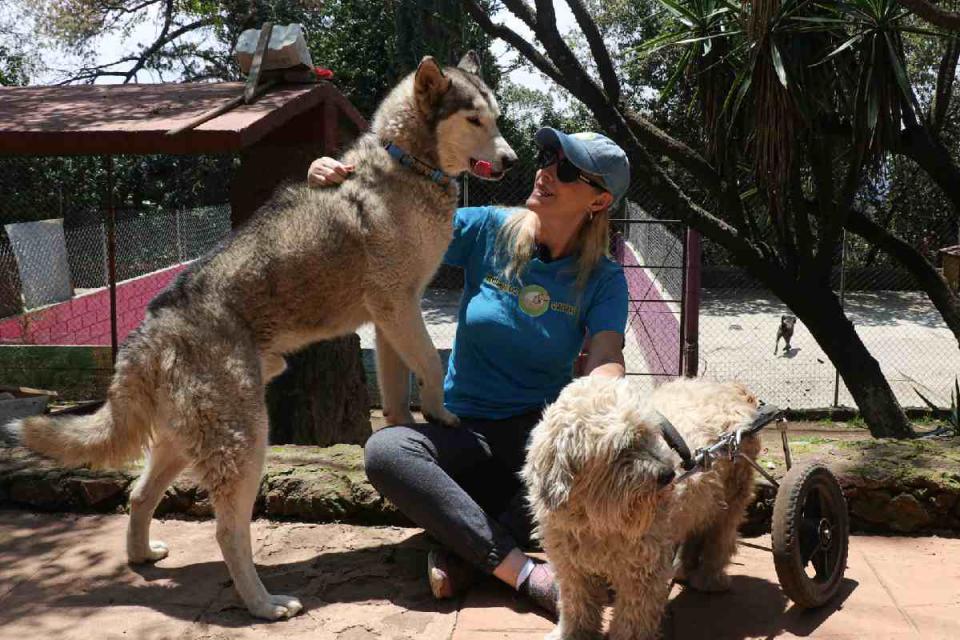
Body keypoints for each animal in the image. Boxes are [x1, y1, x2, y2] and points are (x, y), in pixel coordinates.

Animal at [1, 52, 516, 624]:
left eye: (495, 117)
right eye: (473, 120)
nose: (513, 160)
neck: (405, 164)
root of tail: (150, 327)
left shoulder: (389, 320)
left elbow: (398, 389)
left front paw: (406, 429)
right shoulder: (398, 307)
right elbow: (430, 364)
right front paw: (444, 416)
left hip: (186, 443)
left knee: (137, 496)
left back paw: (143, 556)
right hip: (246, 443)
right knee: (228, 532)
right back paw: (264, 604)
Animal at [524, 378, 756, 636]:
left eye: (650, 436)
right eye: (623, 448)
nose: (668, 474)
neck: (595, 517)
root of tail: (730, 389)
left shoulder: (641, 570)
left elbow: (633, 616)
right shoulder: (572, 567)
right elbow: (577, 604)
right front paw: (574, 634)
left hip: (731, 500)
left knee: (720, 540)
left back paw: (710, 578)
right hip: (702, 502)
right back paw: (685, 569)